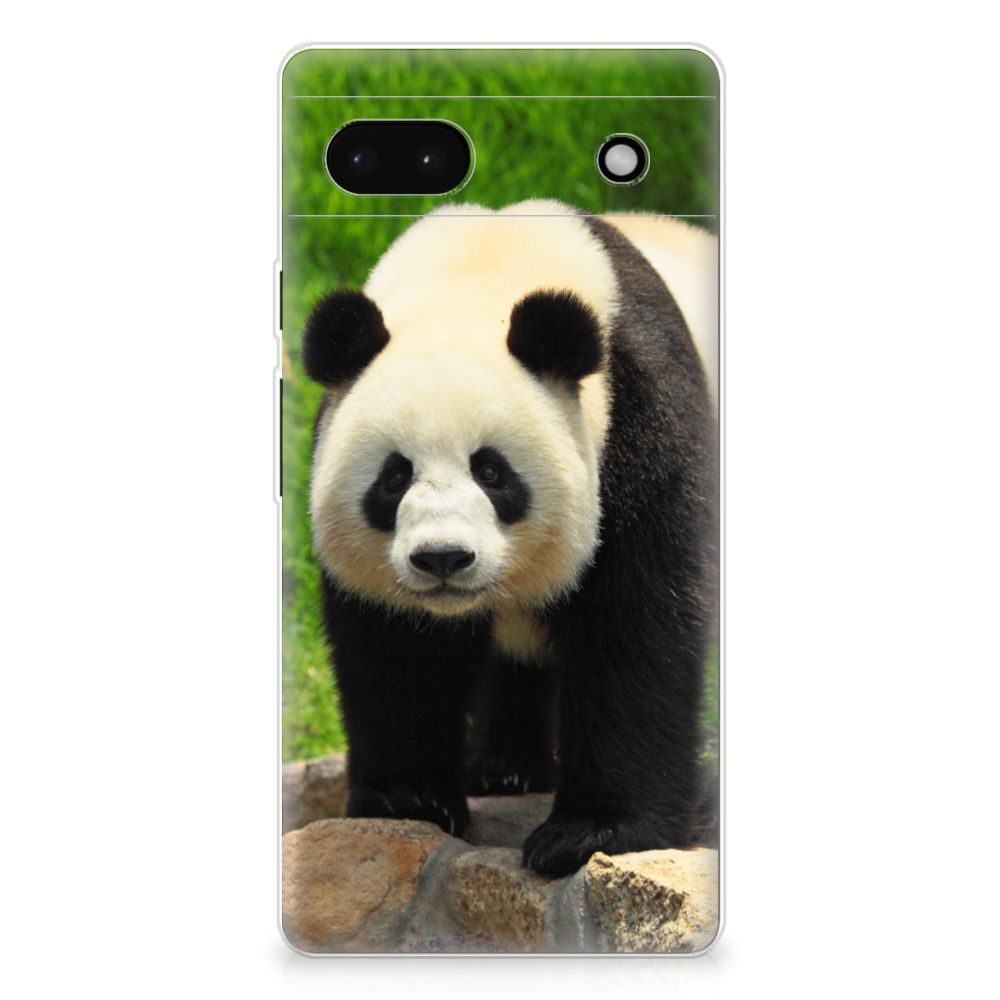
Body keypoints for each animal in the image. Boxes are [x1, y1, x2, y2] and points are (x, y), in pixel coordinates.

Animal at [302, 199, 718, 877]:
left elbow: (637, 623)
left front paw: (591, 833)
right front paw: (408, 799)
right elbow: (396, 648)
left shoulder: (641, 419)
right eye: (394, 476)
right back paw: (505, 769)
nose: (443, 558)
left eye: (492, 472)